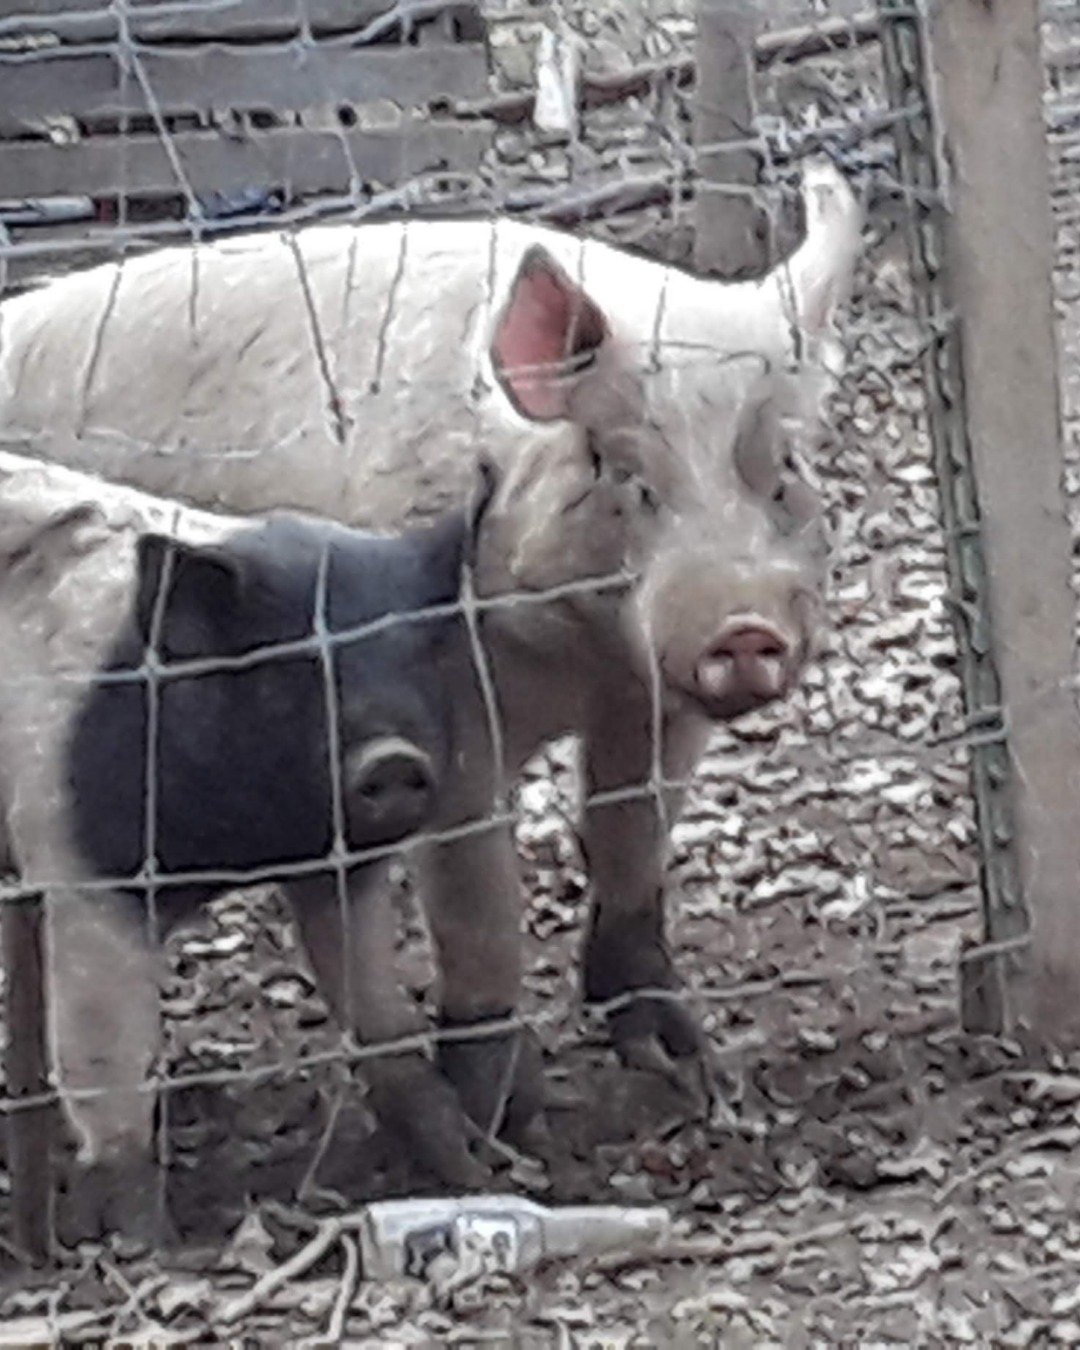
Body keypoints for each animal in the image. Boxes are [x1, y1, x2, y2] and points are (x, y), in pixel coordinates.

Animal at [0, 449, 492, 1244]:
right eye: (291, 666)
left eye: (418, 652)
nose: (392, 761)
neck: (238, 847)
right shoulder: (80, 868)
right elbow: (106, 1060)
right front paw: (152, 1245)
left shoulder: (337, 870)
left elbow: (378, 1013)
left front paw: (473, 1167)